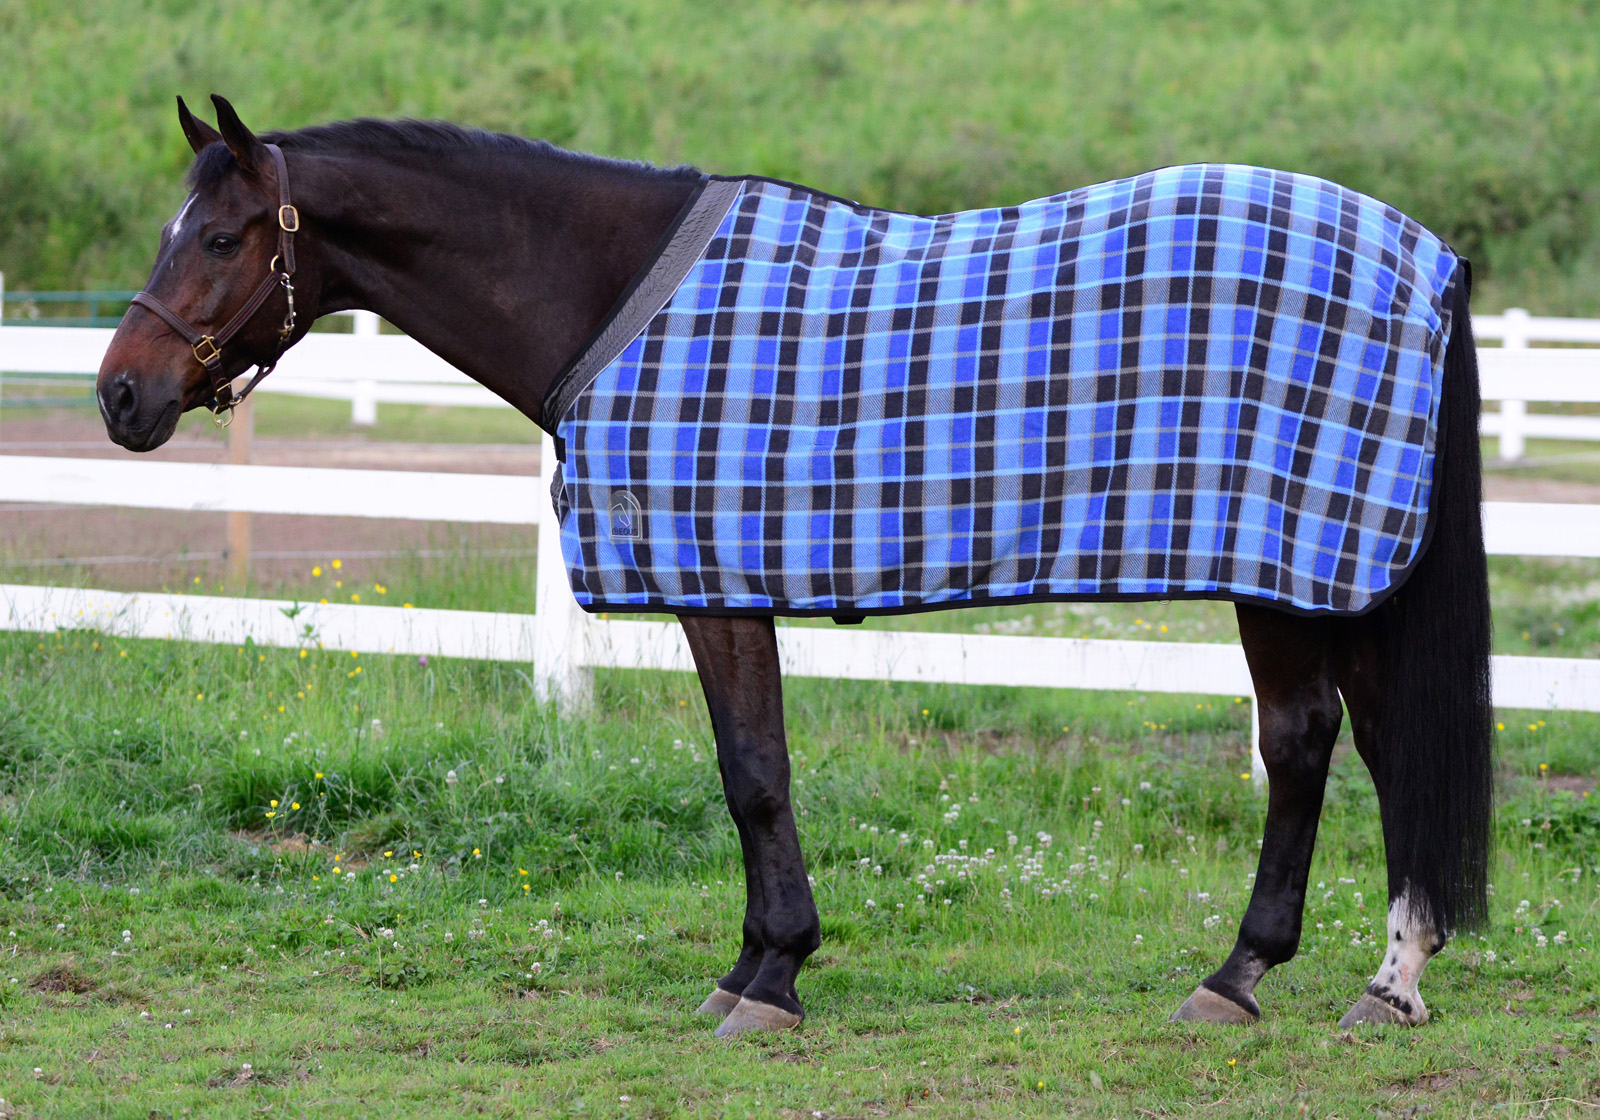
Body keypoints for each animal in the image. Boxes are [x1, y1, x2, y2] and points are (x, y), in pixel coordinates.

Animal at [97, 95, 1492, 1038]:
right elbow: (753, 771)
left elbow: (752, 774)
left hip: (1291, 567)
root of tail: (1423, 253)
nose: (119, 395)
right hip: (1339, 569)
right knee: (1380, 740)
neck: (611, 299)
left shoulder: (718, 590)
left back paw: (1243, 975)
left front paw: (770, 976)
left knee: (1305, 743)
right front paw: (755, 965)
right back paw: (1391, 977)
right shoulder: (731, 581)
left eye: (218, 238)